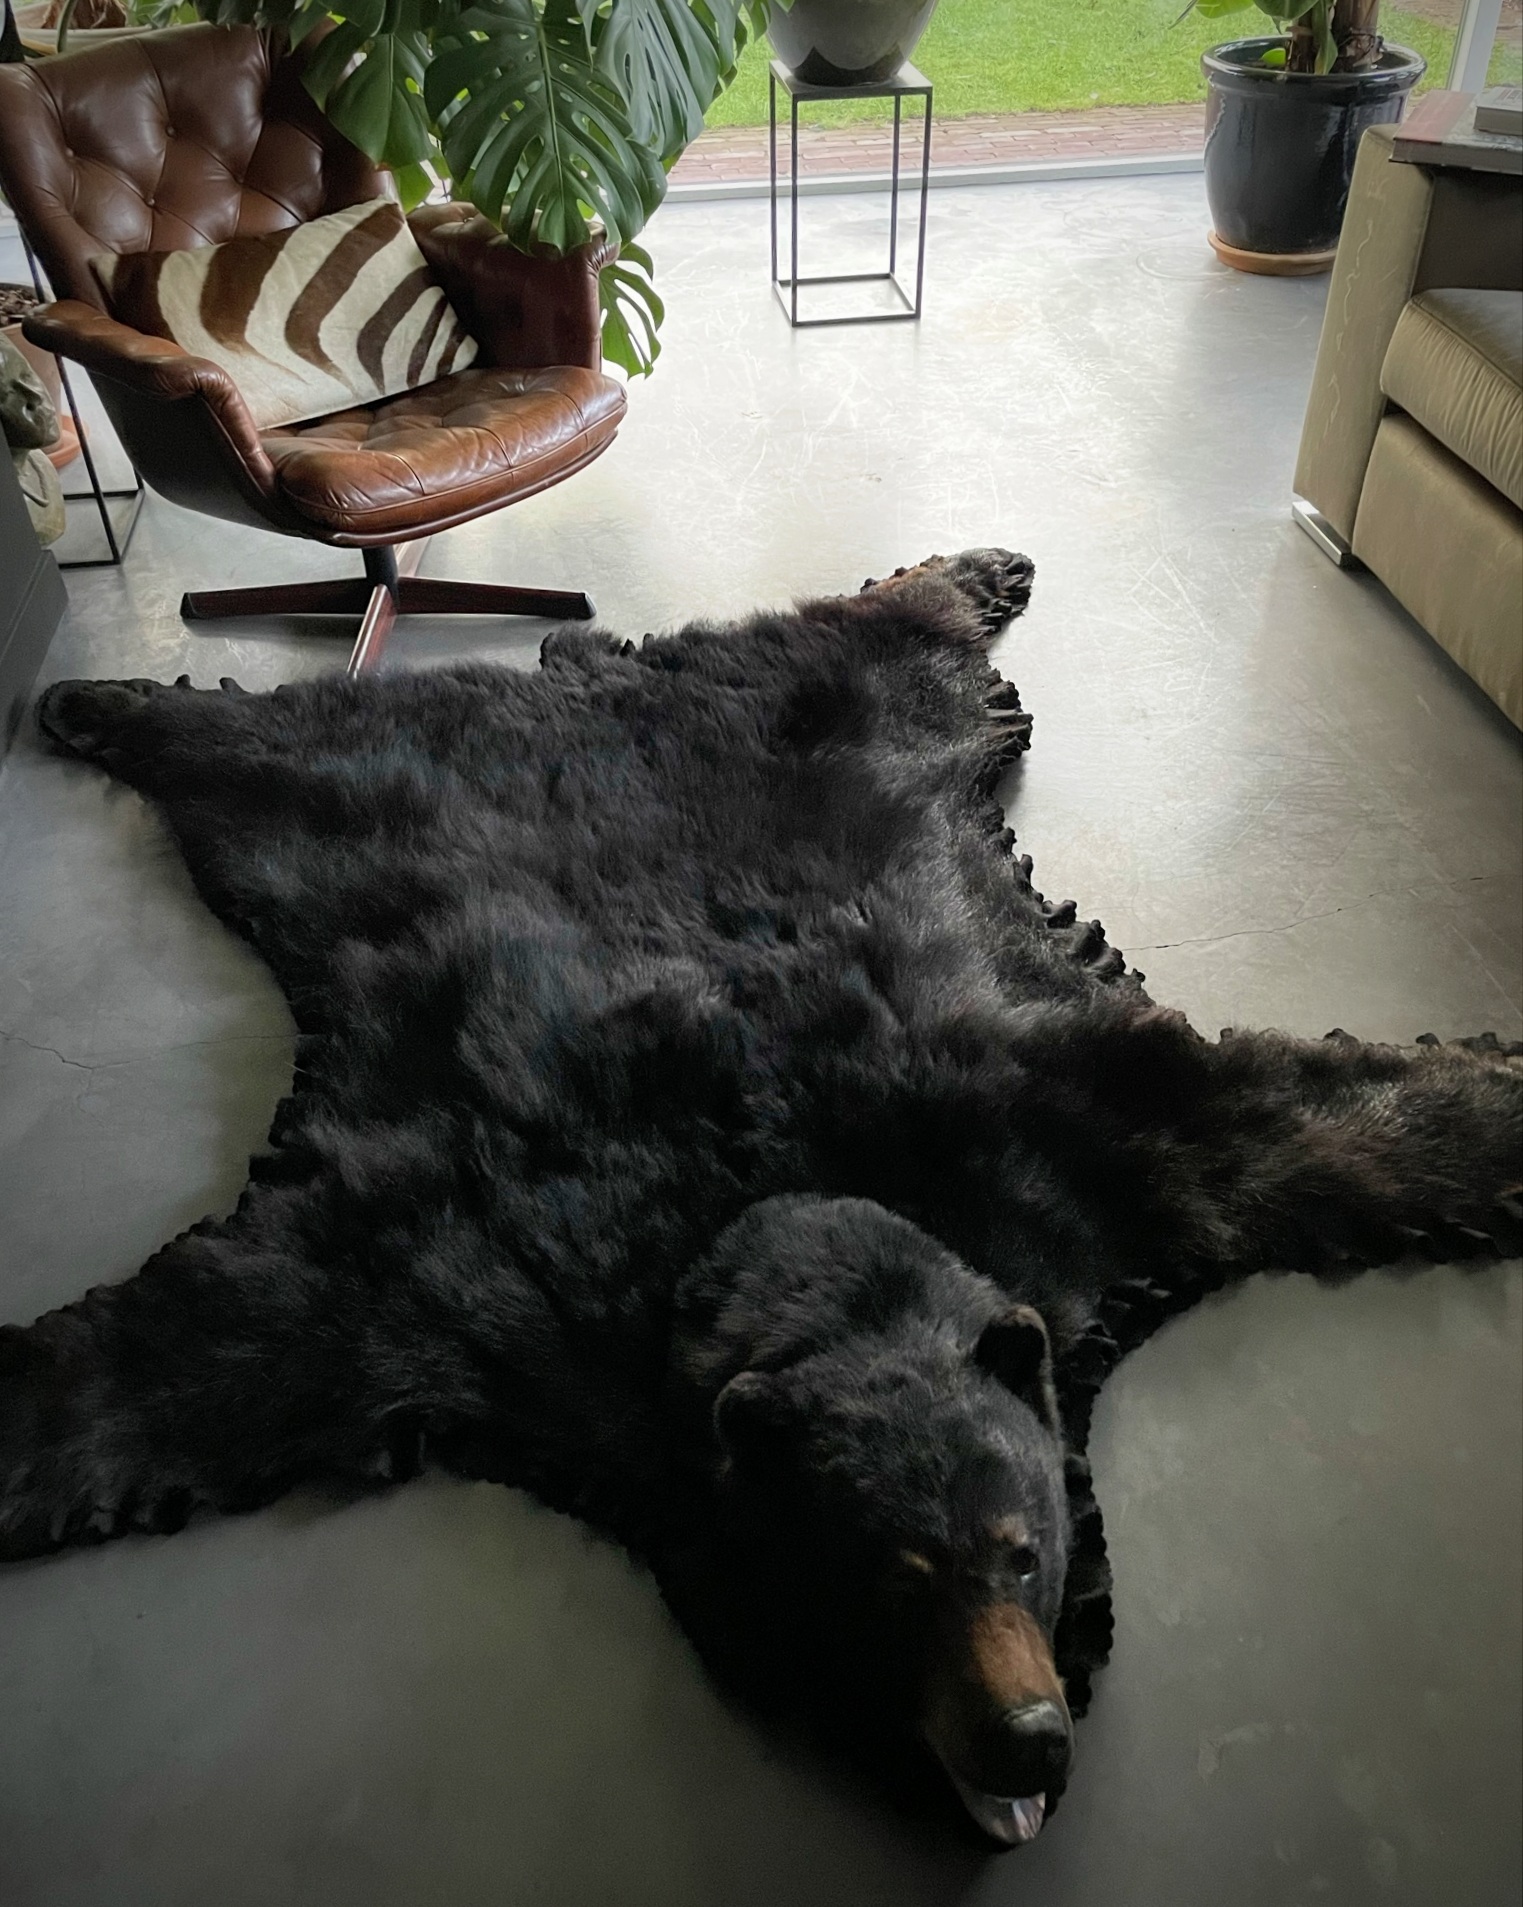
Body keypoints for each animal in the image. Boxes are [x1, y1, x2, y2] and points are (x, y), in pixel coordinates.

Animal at [5, 548, 1520, 1848]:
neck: (784, 1214)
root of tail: (596, 678)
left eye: (1019, 1550)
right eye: (878, 1587)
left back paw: (975, 568)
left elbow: (1299, 1122)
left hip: (831, 726)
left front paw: (1485, 1101)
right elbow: (205, 1348)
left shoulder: (1078, 1133)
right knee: (271, 745)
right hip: (346, 810)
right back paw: (92, 697)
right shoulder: (446, 1267)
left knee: (871, 647)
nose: (1023, 1738)